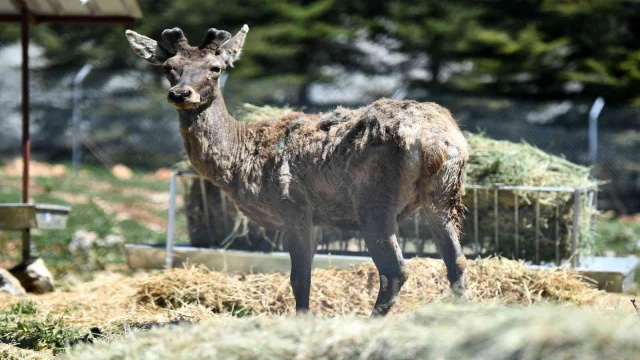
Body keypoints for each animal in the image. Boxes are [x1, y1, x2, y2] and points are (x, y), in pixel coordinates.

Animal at [125, 25, 468, 316]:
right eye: (169, 68)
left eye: (216, 68)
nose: (181, 94)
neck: (238, 159)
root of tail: (435, 140)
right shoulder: (315, 219)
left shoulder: (293, 207)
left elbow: (299, 279)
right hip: (444, 194)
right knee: (457, 262)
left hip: (375, 200)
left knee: (395, 270)